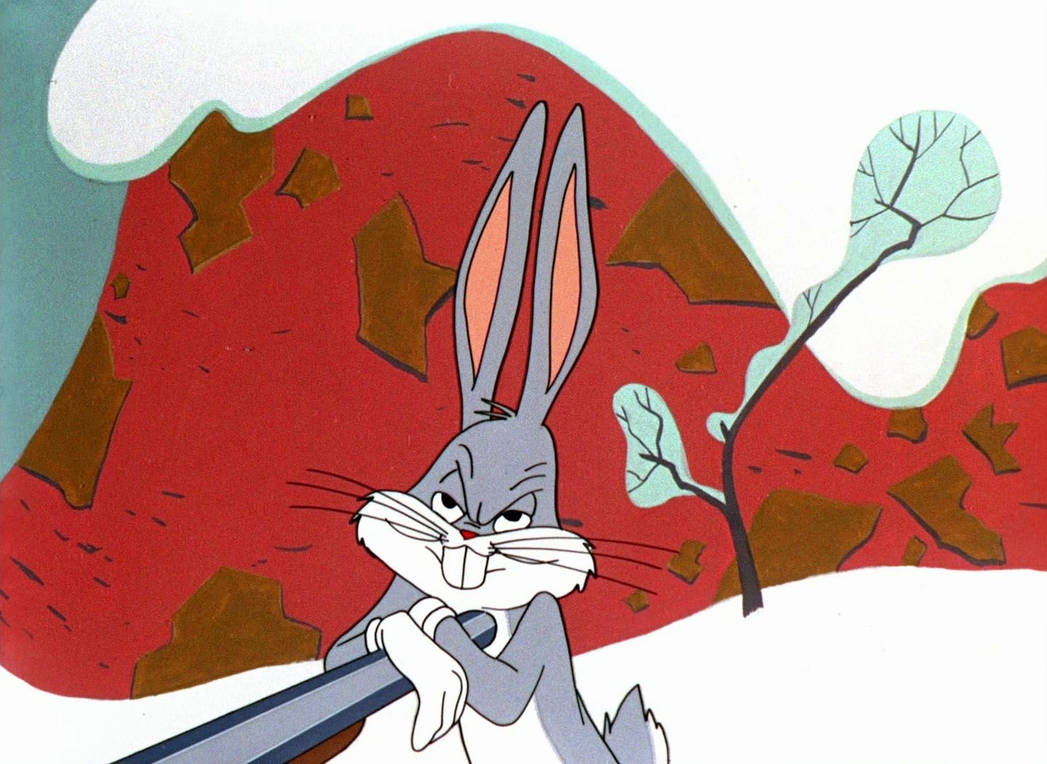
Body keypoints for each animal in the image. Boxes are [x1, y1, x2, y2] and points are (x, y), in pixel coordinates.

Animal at [323, 102, 668, 763]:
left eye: (515, 517)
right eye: (445, 498)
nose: (466, 532)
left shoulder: (539, 624)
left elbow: (489, 681)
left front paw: (437, 640)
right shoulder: (379, 613)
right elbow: (355, 646)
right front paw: (425, 668)